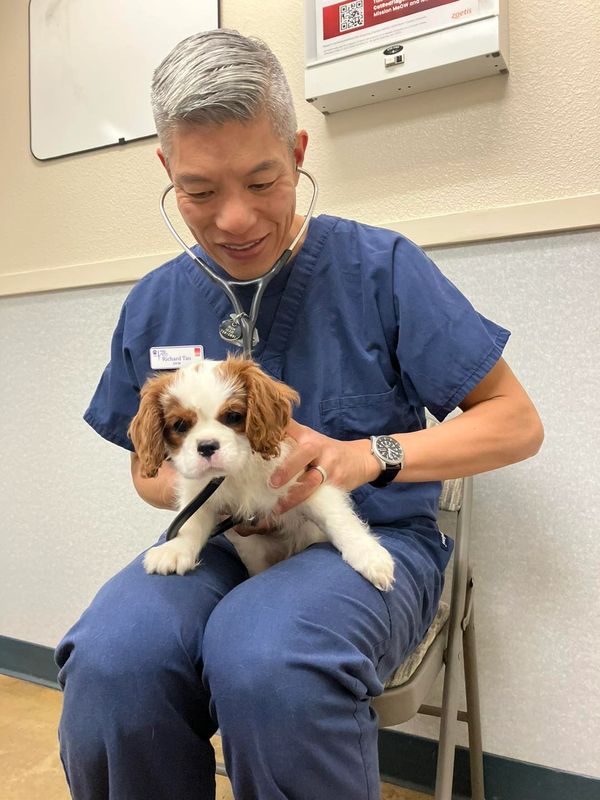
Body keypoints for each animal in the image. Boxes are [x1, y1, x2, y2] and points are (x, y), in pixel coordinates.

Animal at [129, 354, 396, 588]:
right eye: (180, 425)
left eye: (233, 416)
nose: (206, 446)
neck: (240, 470)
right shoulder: (202, 495)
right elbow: (192, 521)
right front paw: (175, 550)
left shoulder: (307, 482)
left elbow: (338, 519)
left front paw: (368, 555)